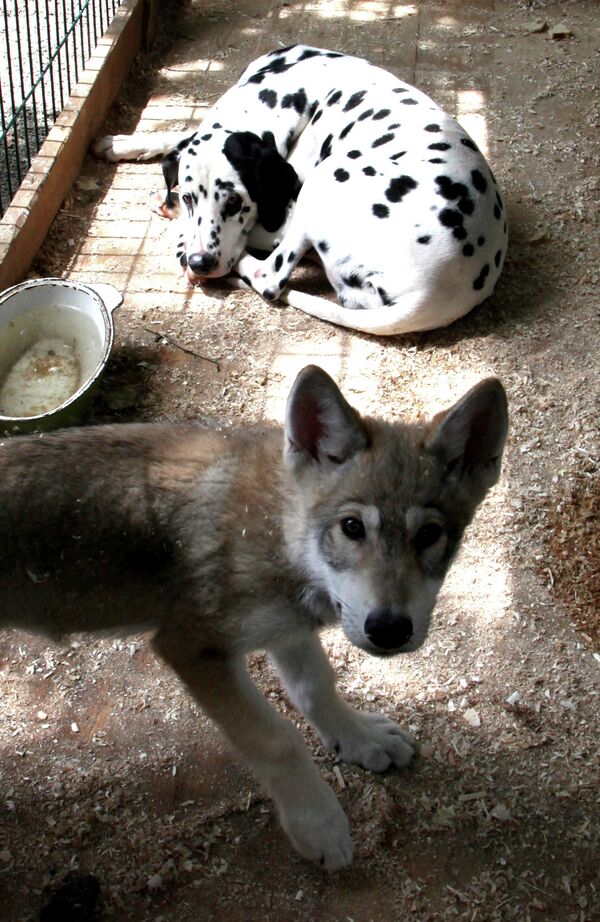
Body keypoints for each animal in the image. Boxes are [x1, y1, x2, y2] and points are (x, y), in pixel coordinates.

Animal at [0, 366, 508, 869]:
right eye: (351, 528)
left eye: (430, 535)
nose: (388, 630)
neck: (279, 531)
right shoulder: (191, 647)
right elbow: (279, 739)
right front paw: (319, 824)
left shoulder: (288, 629)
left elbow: (317, 688)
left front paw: (360, 739)